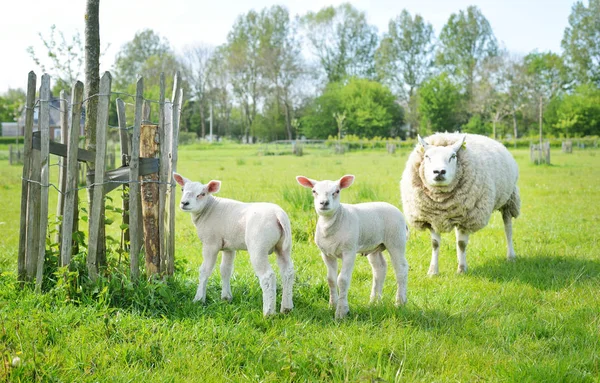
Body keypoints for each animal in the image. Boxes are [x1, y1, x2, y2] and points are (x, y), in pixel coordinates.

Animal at [173, 172, 296, 316]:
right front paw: (226, 298)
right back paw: (286, 308)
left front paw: (198, 299)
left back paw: (268, 312)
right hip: (284, 246)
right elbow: (225, 270)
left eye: (202, 194)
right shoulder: (228, 246)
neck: (208, 209)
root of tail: (278, 214)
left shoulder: (211, 244)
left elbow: (205, 271)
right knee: (288, 272)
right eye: (182, 189)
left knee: (268, 276)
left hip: (258, 247)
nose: (184, 203)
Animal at [296, 176, 408, 320]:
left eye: (337, 191)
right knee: (380, 268)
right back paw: (374, 302)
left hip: (396, 240)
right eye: (314, 191)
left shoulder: (349, 251)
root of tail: (394, 208)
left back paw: (400, 302)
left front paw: (341, 312)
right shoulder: (326, 254)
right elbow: (331, 280)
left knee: (401, 269)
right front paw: (332, 305)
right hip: (375, 246)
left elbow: (342, 280)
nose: (324, 203)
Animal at [400, 133, 524, 276]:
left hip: (509, 199)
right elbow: (435, 244)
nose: (439, 172)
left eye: (453, 156)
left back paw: (511, 256)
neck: (440, 202)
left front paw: (462, 269)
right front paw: (433, 271)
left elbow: (461, 244)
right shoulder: (432, 217)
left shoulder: (467, 218)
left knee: (508, 228)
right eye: (427, 156)